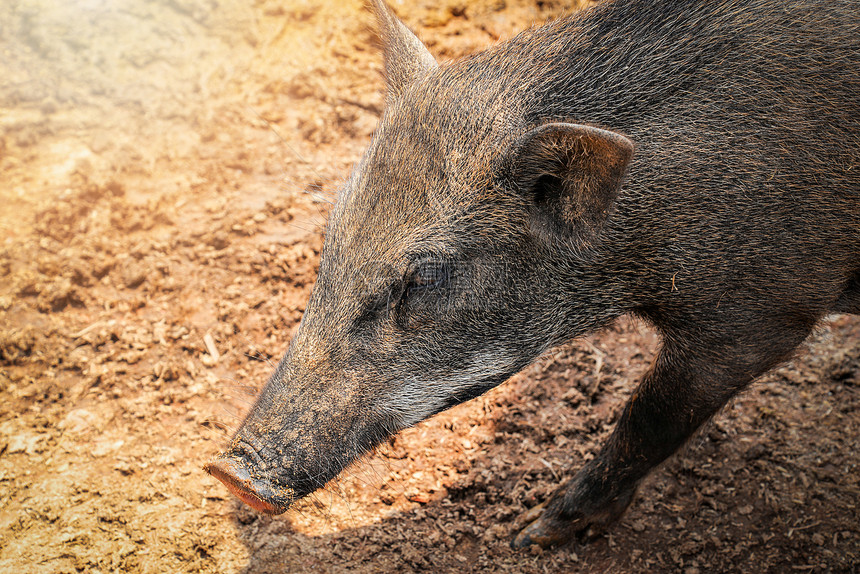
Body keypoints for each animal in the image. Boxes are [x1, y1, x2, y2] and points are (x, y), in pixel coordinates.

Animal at [208, 0, 860, 548]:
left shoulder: (762, 311)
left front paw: (531, 535)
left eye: (426, 276)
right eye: (333, 232)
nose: (227, 472)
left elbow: (650, 418)